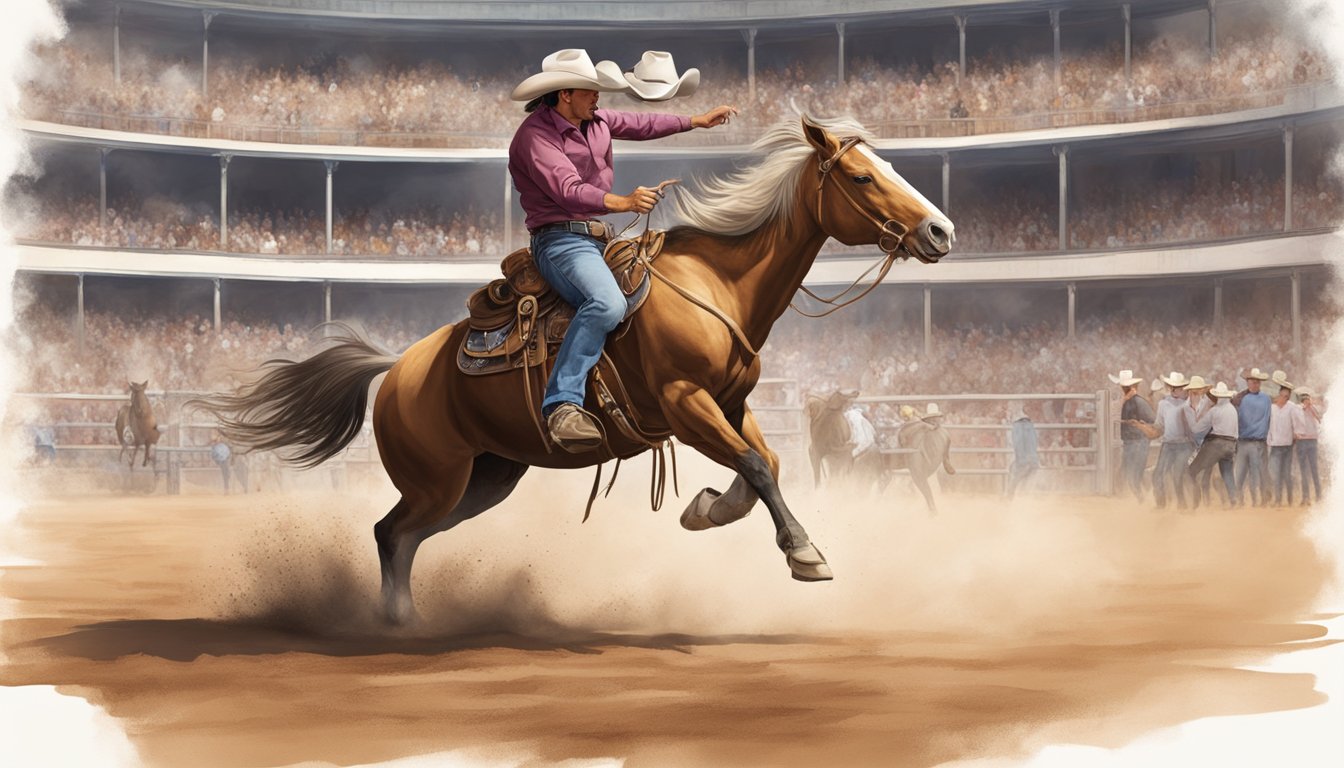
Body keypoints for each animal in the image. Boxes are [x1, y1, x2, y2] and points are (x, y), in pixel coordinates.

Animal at [194, 115, 956, 624]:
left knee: (403, 537)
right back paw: (395, 622)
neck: (715, 285)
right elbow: (757, 467)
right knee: (389, 533)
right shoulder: (685, 402)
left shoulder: (731, 404)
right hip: (439, 478)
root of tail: (399, 367)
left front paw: (706, 509)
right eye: (861, 176)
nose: (941, 231)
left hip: (486, 478)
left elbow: (760, 464)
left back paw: (405, 618)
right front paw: (804, 554)